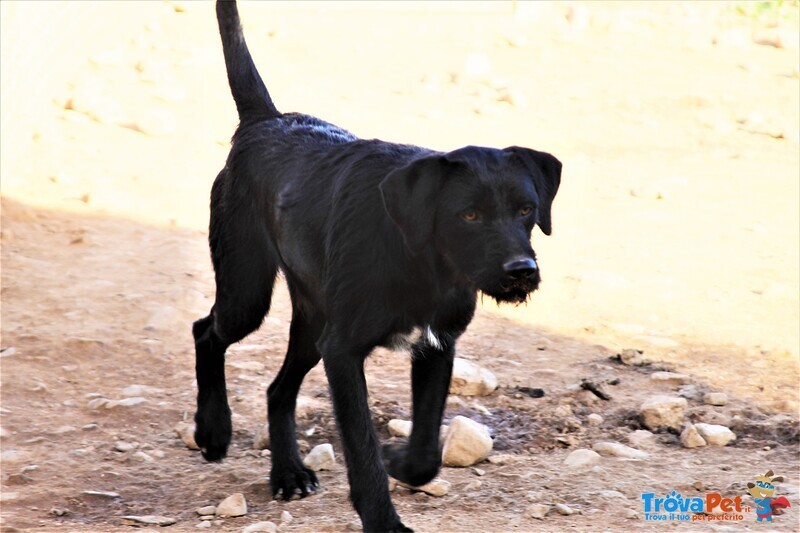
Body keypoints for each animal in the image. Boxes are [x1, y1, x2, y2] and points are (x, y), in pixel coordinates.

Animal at [192, 2, 564, 528]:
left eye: (526, 209)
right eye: (469, 215)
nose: (521, 270)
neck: (423, 262)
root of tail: (265, 121)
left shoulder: (436, 345)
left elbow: (426, 450)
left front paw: (400, 461)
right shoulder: (344, 353)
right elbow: (361, 447)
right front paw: (385, 520)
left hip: (313, 323)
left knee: (277, 389)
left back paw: (288, 472)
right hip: (248, 291)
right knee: (206, 331)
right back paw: (213, 431)